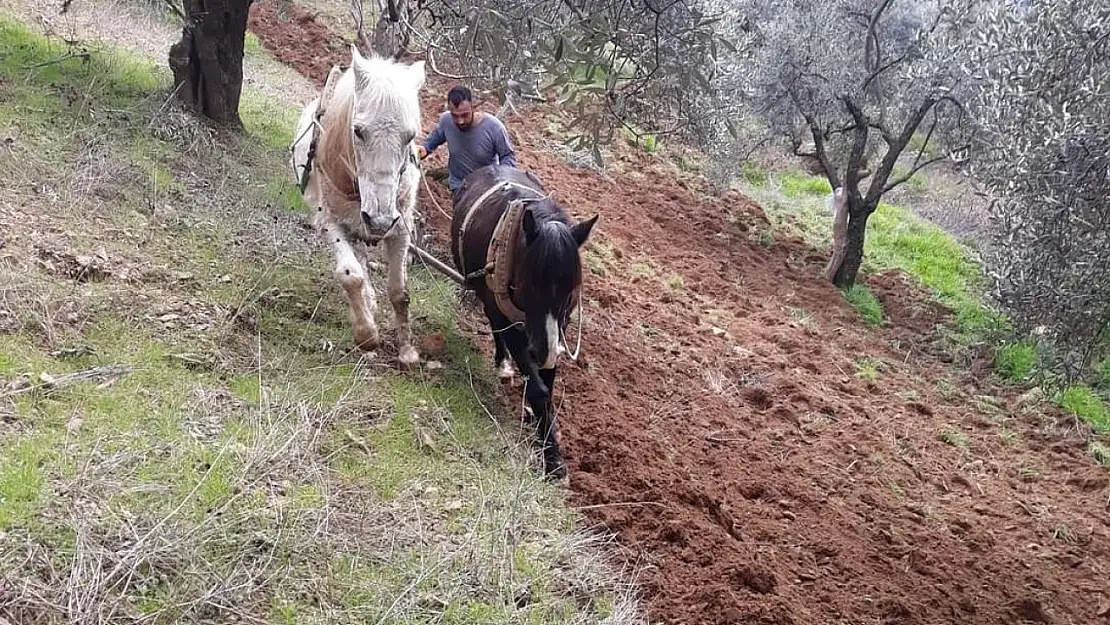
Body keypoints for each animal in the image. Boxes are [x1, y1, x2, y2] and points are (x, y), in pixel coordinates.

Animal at [288, 47, 426, 366]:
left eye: (410, 136)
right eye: (359, 131)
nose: (379, 220)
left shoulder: (401, 228)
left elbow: (400, 292)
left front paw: (407, 351)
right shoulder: (330, 221)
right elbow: (350, 275)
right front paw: (366, 334)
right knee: (358, 263)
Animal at [448, 164, 599, 477]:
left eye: (571, 294)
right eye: (530, 285)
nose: (540, 350)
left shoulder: (556, 330)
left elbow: (548, 384)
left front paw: (544, 431)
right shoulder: (511, 320)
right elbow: (538, 388)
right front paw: (552, 459)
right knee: (495, 327)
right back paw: (503, 363)